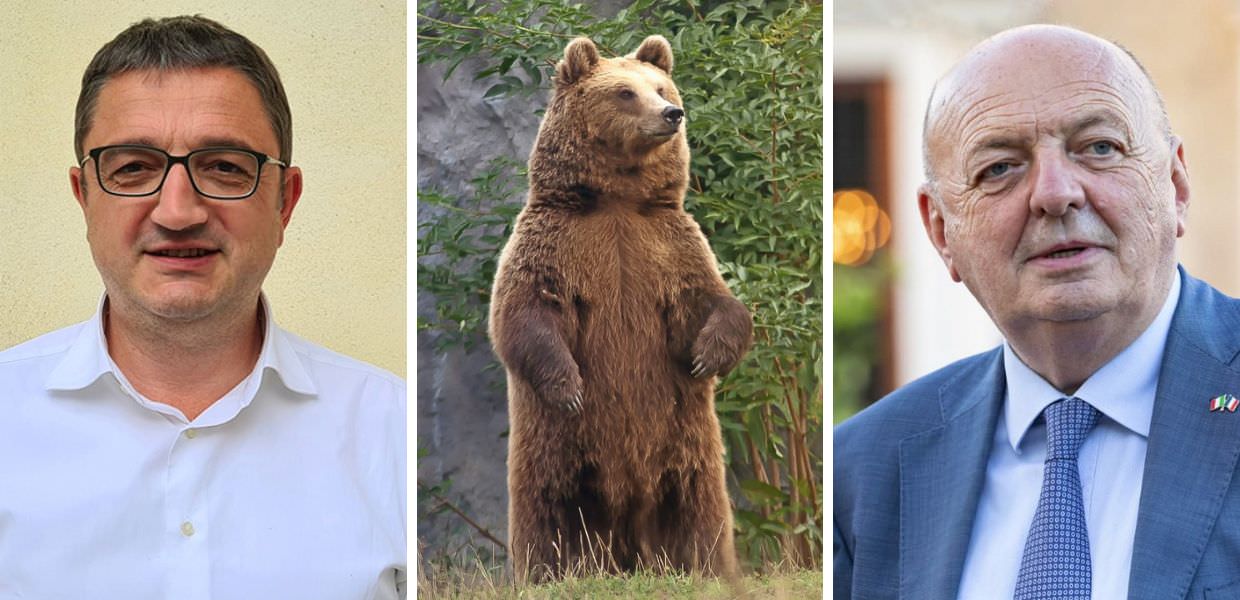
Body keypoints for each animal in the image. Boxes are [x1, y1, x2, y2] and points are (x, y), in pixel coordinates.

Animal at [488, 34, 753, 583]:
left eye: (661, 87)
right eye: (625, 92)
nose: (672, 113)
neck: (617, 201)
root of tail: (627, 543)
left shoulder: (669, 246)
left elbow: (714, 300)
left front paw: (707, 355)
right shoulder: (554, 245)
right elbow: (524, 315)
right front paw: (568, 387)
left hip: (685, 441)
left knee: (699, 506)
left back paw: (705, 567)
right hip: (558, 449)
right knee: (549, 507)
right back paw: (551, 571)